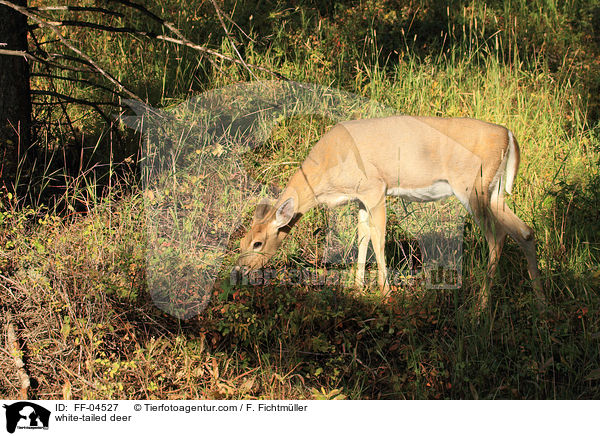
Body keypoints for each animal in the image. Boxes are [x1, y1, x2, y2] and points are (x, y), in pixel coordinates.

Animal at [237, 114, 548, 308]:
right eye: (240, 241)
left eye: (257, 243)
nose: (239, 269)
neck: (326, 173)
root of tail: (508, 135)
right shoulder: (360, 198)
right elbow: (362, 237)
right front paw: (357, 288)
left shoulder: (376, 188)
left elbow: (378, 239)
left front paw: (385, 292)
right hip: (495, 193)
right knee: (526, 231)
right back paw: (540, 301)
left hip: (472, 188)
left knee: (497, 238)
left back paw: (480, 308)